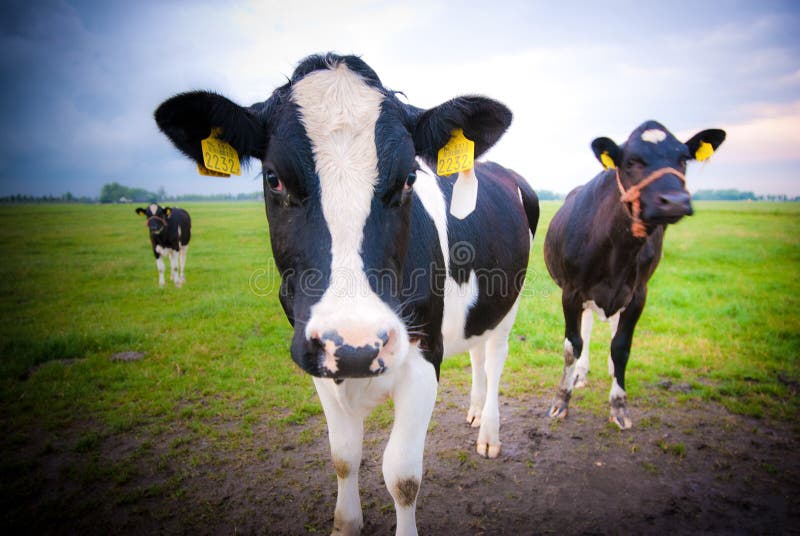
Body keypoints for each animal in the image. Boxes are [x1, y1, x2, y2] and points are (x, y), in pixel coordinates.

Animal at [154, 53, 539, 535]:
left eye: (409, 177)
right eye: (274, 178)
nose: (357, 345)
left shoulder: (422, 354)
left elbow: (402, 476)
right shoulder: (318, 355)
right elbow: (343, 458)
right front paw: (345, 522)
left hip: (510, 301)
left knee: (495, 357)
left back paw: (488, 433)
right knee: (475, 353)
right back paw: (472, 412)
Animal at [543, 120, 725, 429]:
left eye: (683, 158)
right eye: (631, 161)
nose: (674, 201)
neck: (619, 248)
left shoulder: (638, 293)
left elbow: (621, 347)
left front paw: (619, 405)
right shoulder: (571, 291)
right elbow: (572, 345)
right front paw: (561, 400)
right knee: (587, 327)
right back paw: (580, 373)